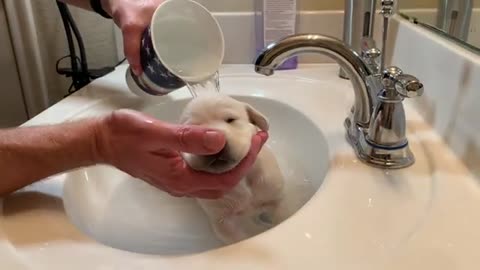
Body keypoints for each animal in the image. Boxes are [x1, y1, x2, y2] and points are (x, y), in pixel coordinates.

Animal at [179, 93, 284, 245]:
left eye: (230, 119)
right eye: (192, 131)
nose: (213, 143)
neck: (242, 180)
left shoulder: (275, 197)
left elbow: (281, 216)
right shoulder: (222, 221)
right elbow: (239, 237)